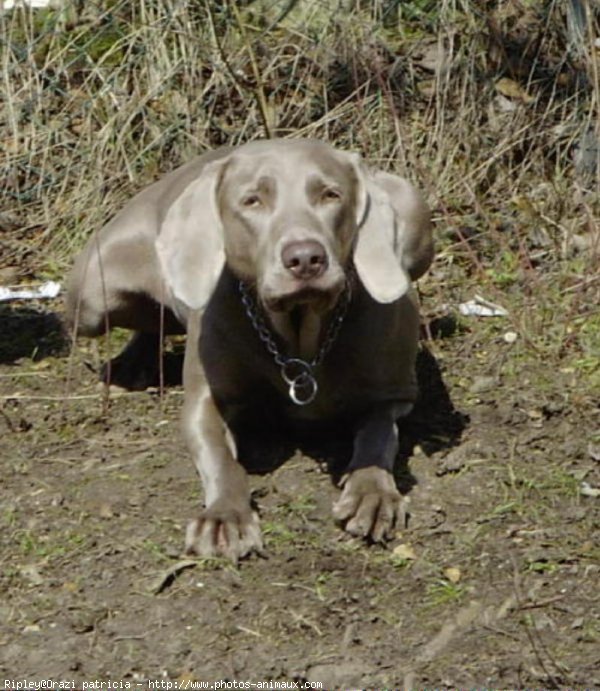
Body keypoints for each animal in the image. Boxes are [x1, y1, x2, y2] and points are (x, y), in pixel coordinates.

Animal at [65, 139, 434, 564]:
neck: (298, 339)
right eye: (252, 200)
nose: (305, 258)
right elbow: (223, 462)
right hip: (92, 294)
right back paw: (132, 364)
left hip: (415, 211)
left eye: (330, 195)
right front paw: (224, 517)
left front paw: (371, 494)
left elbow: (378, 435)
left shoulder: (393, 394)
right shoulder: (204, 402)